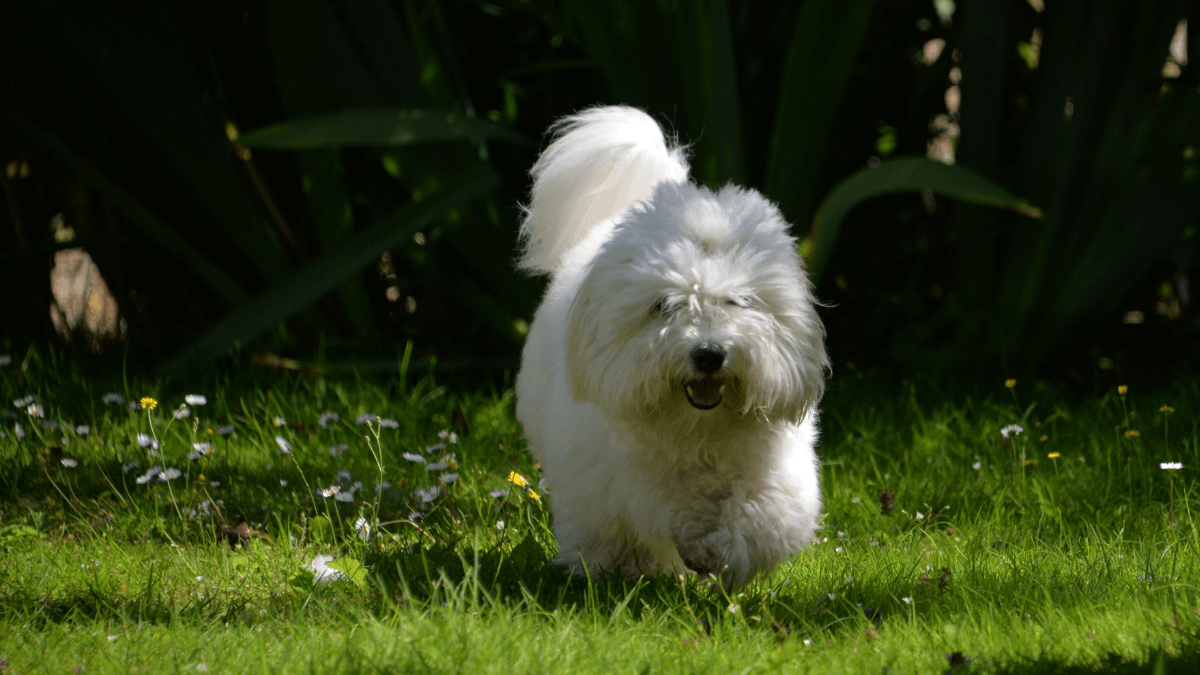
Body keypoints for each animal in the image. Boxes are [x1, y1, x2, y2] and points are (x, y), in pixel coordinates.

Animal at [511, 105, 830, 588]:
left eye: (737, 301)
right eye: (664, 305)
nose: (710, 354)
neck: (697, 432)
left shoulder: (777, 472)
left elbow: (760, 514)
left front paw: (719, 551)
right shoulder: (619, 479)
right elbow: (652, 513)